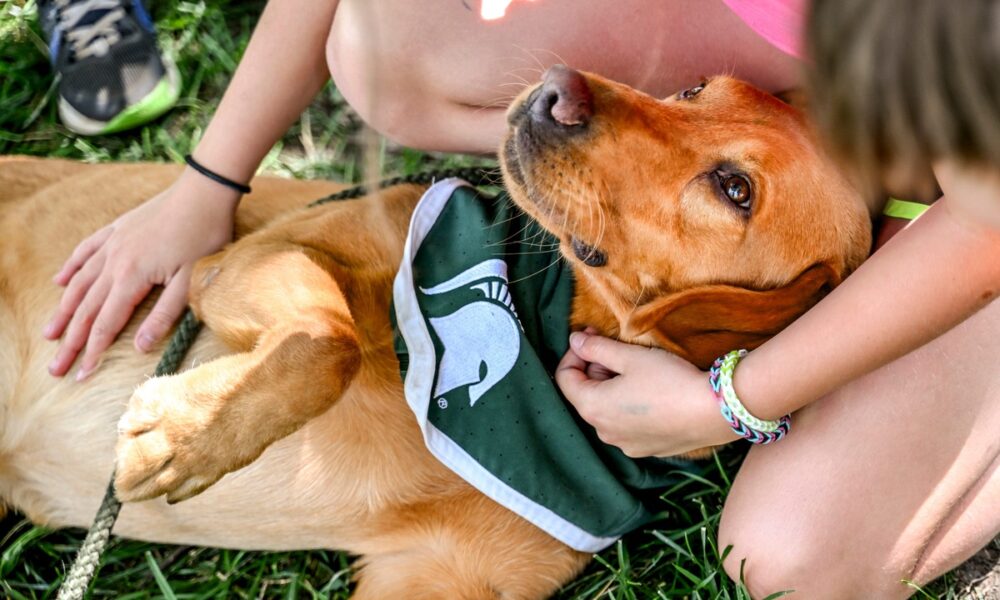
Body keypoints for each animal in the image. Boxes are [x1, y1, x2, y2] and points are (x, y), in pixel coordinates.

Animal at [0, 68, 868, 596]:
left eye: (734, 188)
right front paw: (183, 436)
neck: (539, 337)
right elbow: (329, 337)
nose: (559, 90)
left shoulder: (437, 579)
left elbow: (329, 341)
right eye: (692, 89)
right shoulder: (241, 258)